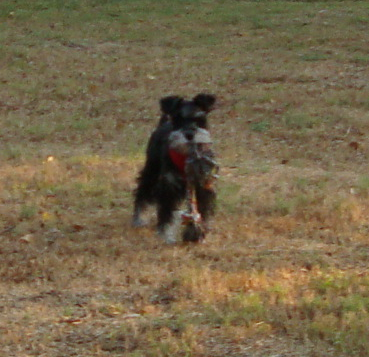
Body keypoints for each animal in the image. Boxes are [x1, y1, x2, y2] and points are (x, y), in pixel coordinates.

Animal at [132, 93, 217, 243]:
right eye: (178, 118)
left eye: (199, 118)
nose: (189, 135)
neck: (185, 157)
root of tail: (163, 123)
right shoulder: (169, 186)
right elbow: (166, 212)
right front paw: (166, 235)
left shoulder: (201, 185)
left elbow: (200, 210)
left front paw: (197, 233)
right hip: (151, 172)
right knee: (142, 192)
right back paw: (139, 217)